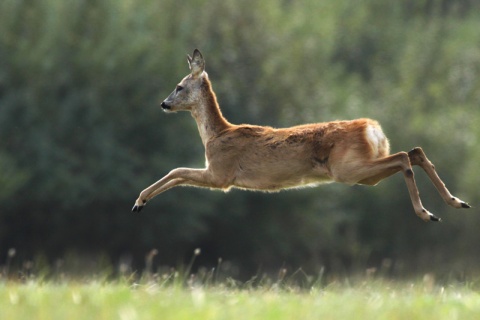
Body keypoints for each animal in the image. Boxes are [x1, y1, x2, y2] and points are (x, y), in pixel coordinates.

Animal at [131, 48, 468, 222]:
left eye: (179, 86)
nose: (163, 104)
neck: (216, 135)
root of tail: (371, 128)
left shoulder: (221, 174)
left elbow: (176, 170)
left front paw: (139, 201)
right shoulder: (218, 174)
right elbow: (178, 174)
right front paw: (141, 202)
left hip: (347, 168)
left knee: (403, 158)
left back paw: (427, 213)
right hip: (364, 171)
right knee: (414, 153)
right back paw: (456, 203)